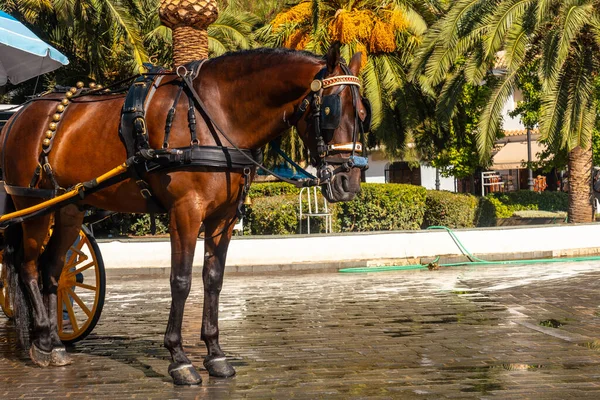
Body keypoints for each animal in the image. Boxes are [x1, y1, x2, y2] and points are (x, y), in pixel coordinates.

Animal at [0, 43, 368, 384]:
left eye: (362, 113)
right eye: (332, 110)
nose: (349, 181)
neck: (217, 114)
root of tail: (21, 113)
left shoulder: (224, 218)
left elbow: (213, 279)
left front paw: (215, 355)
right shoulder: (185, 212)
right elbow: (180, 281)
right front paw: (179, 359)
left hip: (67, 208)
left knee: (52, 270)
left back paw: (52, 342)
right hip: (33, 205)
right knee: (27, 266)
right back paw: (42, 340)